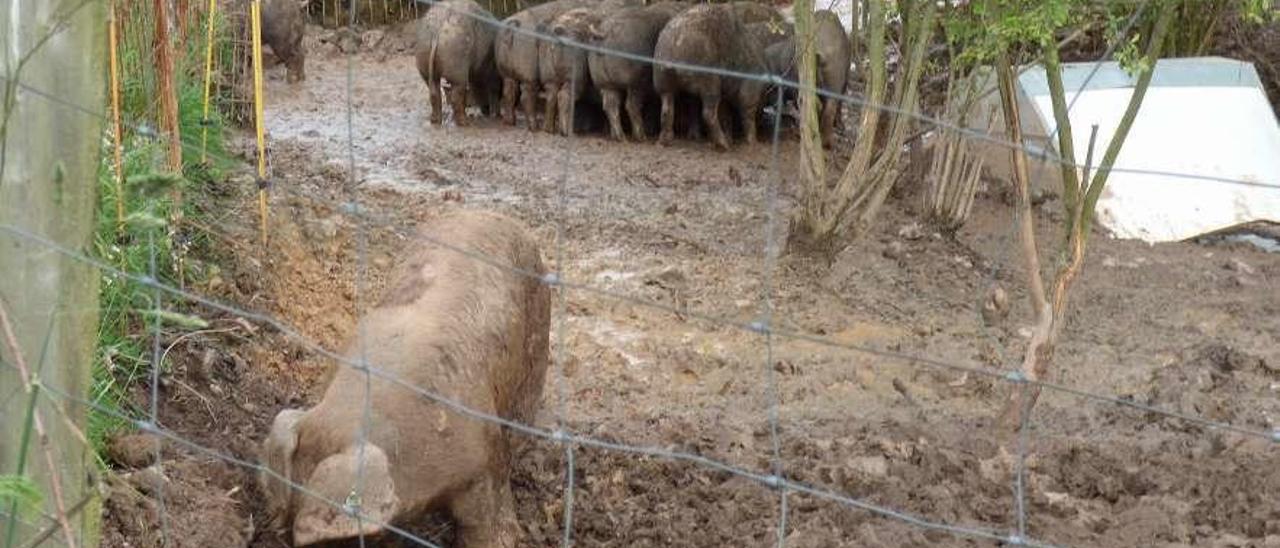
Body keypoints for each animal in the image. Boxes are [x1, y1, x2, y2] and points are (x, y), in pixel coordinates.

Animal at [586, 1, 691, 142]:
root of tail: (604, 33)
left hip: (605, 83)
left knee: (610, 105)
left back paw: (620, 137)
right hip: (635, 82)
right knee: (631, 105)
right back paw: (641, 137)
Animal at [655, 0, 783, 149]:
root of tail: (675, 46)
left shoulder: (726, 94)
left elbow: (725, 115)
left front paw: (731, 139)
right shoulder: (749, 91)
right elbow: (746, 112)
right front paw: (753, 143)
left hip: (662, 81)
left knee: (667, 108)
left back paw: (664, 142)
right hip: (709, 82)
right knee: (708, 113)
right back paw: (723, 145)